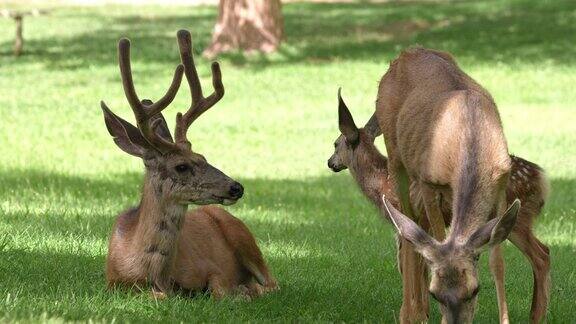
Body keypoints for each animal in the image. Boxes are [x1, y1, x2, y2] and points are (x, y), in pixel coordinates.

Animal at [99, 29, 276, 298]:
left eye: (203, 157)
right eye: (181, 166)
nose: (236, 187)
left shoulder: (211, 269)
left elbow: (219, 290)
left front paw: (241, 291)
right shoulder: (112, 283)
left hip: (243, 235)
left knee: (272, 283)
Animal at [328, 100, 548, 322]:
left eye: (336, 144)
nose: (330, 163)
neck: (382, 183)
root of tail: (542, 178)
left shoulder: (405, 219)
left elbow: (408, 264)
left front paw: (415, 314)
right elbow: (423, 263)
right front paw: (424, 311)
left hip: (515, 219)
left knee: (540, 254)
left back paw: (536, 315)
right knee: (544, 250)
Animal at [374, 46, 528, 322]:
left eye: (475, 290)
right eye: (436, 293)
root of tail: (407, 52)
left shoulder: (502, 182)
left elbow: (497, 261)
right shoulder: (429, 182)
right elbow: (436, 238)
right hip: (396, 159)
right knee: (406, 233)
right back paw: (410, 313)